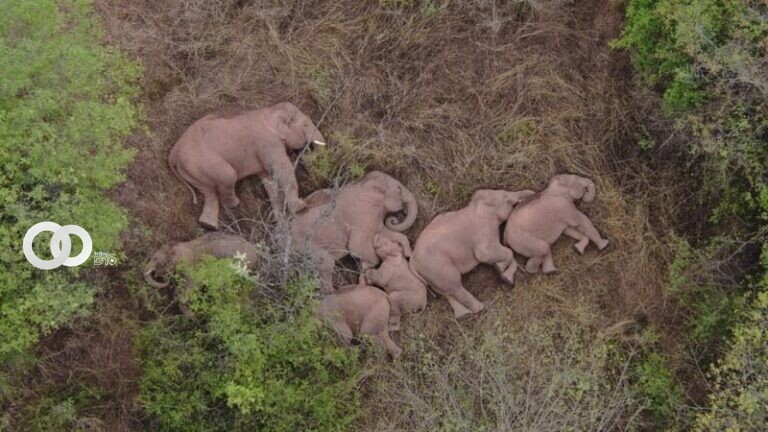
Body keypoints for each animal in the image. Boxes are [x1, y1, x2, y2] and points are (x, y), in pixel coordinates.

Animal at [169, 102, 326, 230]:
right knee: (228, 177)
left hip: (192, 170)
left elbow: (269, 180)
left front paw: (280, 222)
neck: (269, 110)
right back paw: (234, 204)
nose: (304, 154)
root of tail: (174, 152)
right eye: (305, 125)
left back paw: (208, 225)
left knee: (208, 192)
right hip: (203, 163)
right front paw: (301, 206)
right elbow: (282, 168)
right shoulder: (268, 142)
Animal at [410, 189, 535, 319]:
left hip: (432, 275)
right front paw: (501, 270)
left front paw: (504, 274)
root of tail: (412, 262)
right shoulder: (483, 231)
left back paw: (464, 314)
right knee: (455, 286)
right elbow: (487, 254)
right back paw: (480, 308)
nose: (532, 192)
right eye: (505, 196)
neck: (475, 206)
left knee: (446, 291)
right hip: (438, 267)